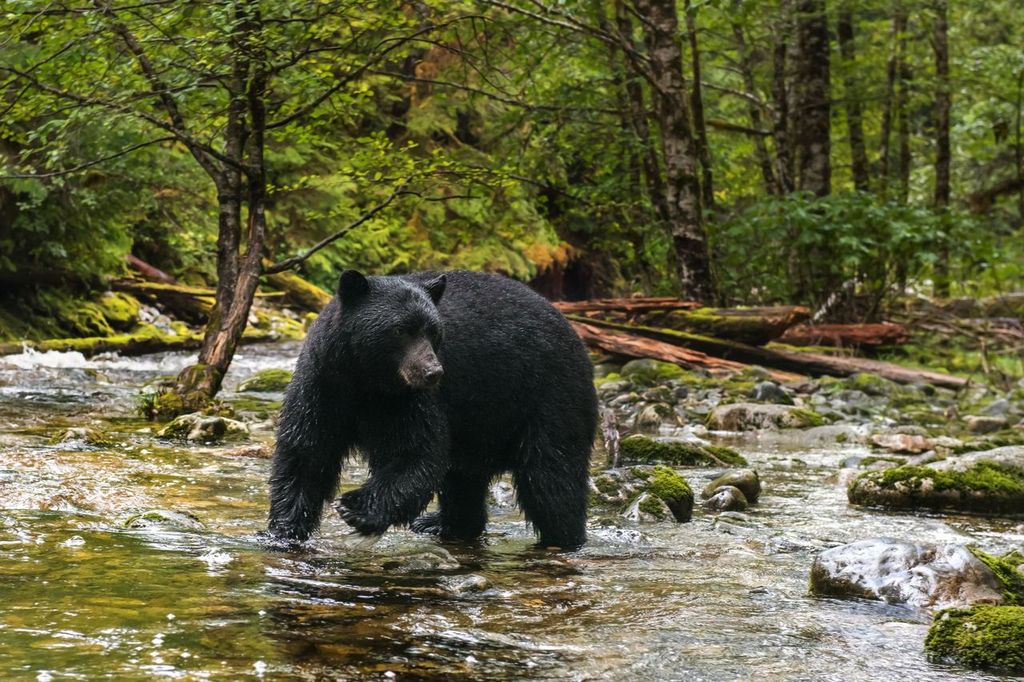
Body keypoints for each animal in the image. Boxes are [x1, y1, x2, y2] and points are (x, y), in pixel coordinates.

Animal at [266, 268, 598, 544]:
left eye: (434, 331)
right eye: (400, 330)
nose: (432, 372)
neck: (366, 380)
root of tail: (575, 334)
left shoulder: (408, 401)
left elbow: (416, 453)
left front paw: (356, 507)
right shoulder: (324, 384)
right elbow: (307, 451)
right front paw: (284, 529)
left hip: (549, 398)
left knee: (551, 479)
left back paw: (564, 538)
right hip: (479, 425)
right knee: (463, 480)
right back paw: (444, 524)